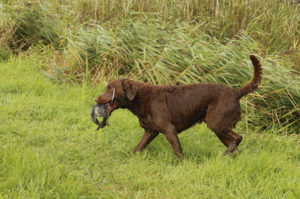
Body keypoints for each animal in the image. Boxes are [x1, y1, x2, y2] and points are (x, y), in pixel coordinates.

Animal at [95, 55, 262, 158]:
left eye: (110, 89)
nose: (96, 98)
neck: (141, 98)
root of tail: (235, 92)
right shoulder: (150, 131)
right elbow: (138, 148)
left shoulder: (169, 130)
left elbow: (178, 152)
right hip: (219, 128)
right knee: (235, 145)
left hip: (216, 123)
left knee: (238, 138)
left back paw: (225, 154)